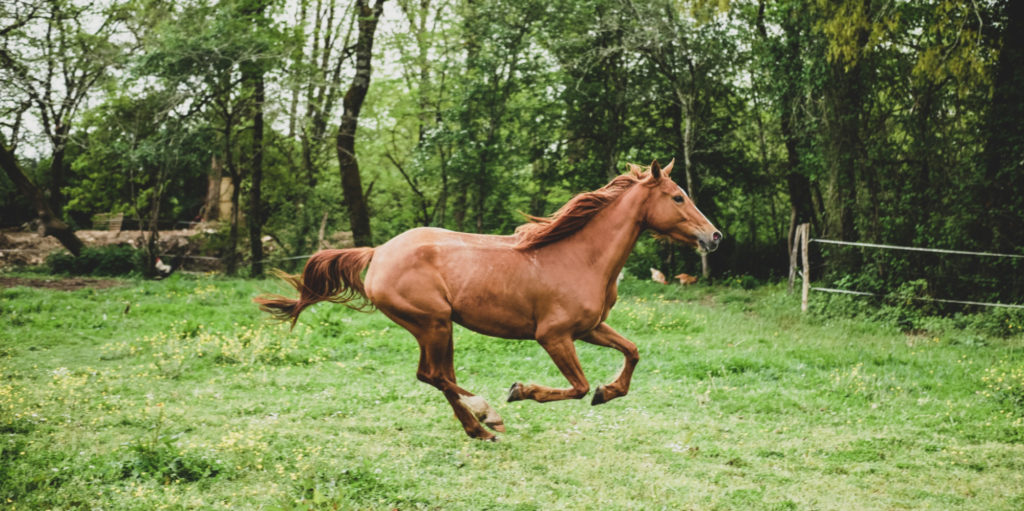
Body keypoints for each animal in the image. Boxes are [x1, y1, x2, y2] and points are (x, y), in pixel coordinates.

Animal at [254, 158, 720, 440]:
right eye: (678, 196)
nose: (714, 236)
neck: (580, 256)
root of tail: (379, 252)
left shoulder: (589, 328)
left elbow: (633, 351)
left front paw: (609, 392)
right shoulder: (553, 336)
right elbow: (577, 386)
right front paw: (522, 390)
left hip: (437, 328)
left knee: (435, 376)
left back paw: (478, 426)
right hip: (433, 323)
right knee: (435, 376)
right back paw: (487, 415)